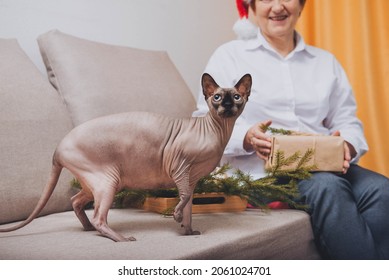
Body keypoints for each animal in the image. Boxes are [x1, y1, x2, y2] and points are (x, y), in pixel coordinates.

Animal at [0, 73, 252, 242]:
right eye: (217, 97)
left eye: (236, 97)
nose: (227, 105)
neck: (217, 133)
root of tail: (58, 147)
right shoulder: (180, 168)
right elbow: (183, 198)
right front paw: (177, 217)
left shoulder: (192, 179)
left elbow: (189, 204)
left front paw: (188, 231)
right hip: (108, 180)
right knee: (99, 216)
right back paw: (120, 238)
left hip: (97, 182)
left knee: (76, 201)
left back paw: (88, 228)